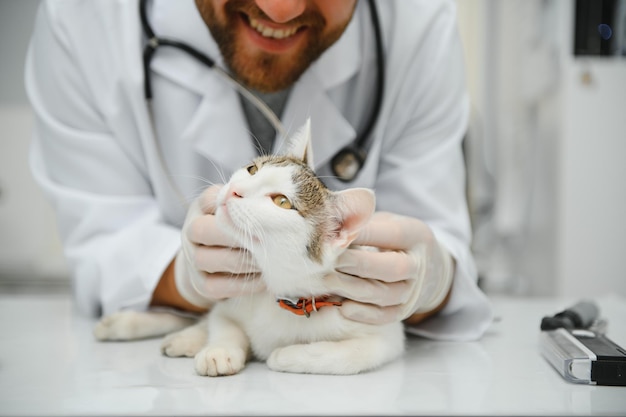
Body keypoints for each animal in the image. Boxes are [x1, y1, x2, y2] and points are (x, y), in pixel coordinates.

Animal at [94, 118, 404, 376]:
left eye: (282, 202)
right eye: (252, 169)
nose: (235, 190)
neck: (282, 290)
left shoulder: (383, 334)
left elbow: (349, 356)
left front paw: (286, 355)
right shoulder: (233, 302)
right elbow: (223, 323)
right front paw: (220, 350)